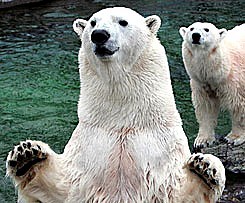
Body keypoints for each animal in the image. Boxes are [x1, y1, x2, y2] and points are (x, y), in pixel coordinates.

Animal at [5, 7, 225, 202]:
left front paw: (205, 166)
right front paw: (27, 155)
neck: (122, 120)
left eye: (123, 21)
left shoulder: (161, 151)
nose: (99, 35)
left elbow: (176, 191)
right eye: (92, 23)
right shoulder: (88, 154)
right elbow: (61, 189)